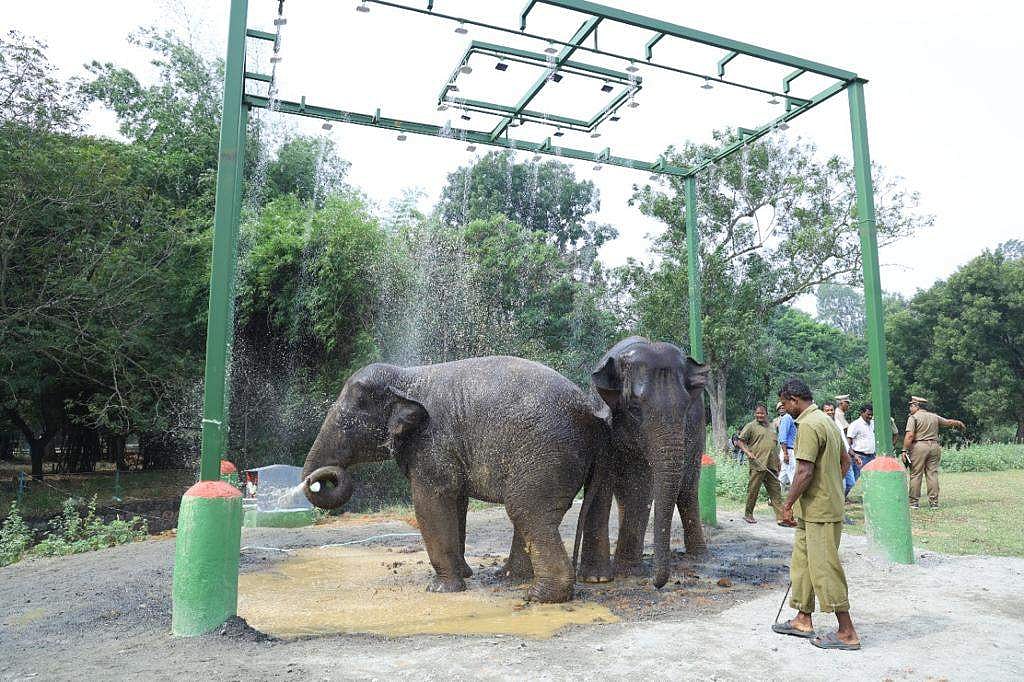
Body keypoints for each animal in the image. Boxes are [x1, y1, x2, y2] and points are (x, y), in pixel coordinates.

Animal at [301, 356, 610, 603]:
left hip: (546, 453)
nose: (319, 478)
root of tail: (589, 410)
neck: (408, 377)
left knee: (524, 509)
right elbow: (457, 502)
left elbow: (430, 503)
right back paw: (512, 578)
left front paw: (440, 589)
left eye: (347, 420)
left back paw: (537, 596)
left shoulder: (432, 443)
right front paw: (464, 575)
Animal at [577, 336, 708, 589]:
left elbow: (641, 486)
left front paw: (627, 572)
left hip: (699, 436)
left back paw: (698, 556)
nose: (656, 584)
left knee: (687, 489)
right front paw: (597, 578)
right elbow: (603, 485)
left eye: (685, 409)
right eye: (634, 409)